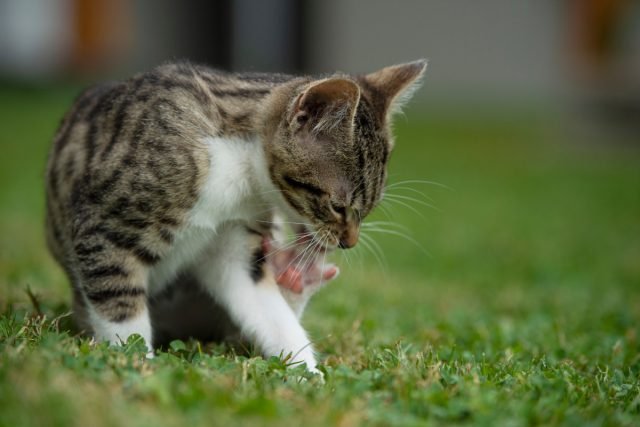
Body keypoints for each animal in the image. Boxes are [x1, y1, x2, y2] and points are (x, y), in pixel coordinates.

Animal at [43, 58, 424, 372]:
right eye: (338, 206)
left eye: (369, 207)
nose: (348, 242)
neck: (237, 169)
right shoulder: (105, 225)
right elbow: (121, 308)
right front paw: (135, 366)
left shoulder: (236, 238)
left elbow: (263, 305)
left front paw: (309, 376)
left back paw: (296, 280)